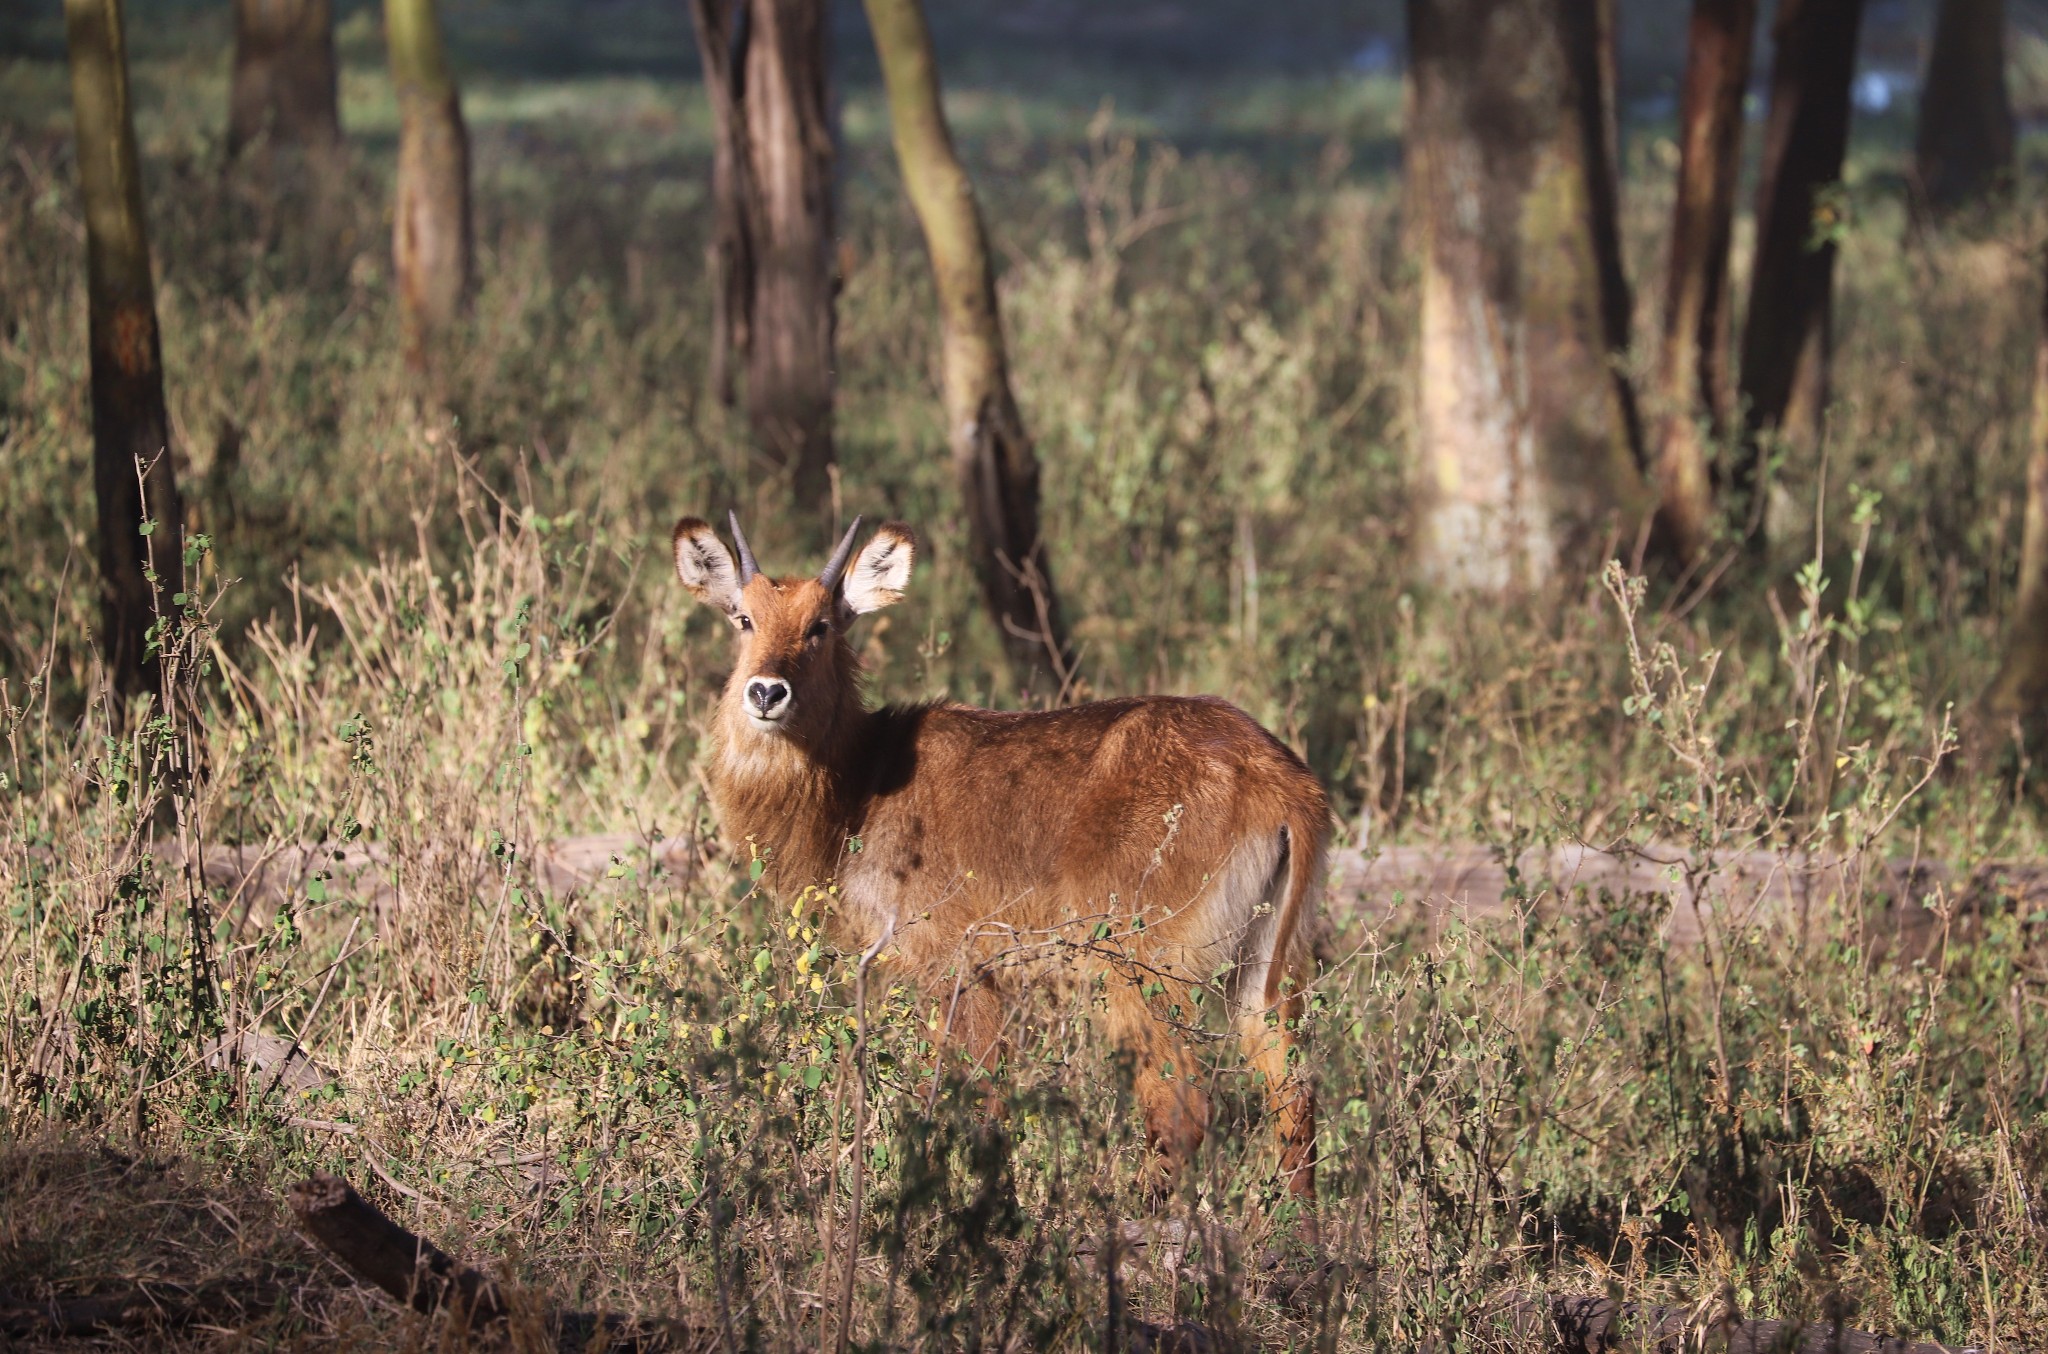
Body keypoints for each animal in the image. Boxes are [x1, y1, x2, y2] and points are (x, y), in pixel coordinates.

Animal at [671, 510, 1327, 1196]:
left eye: (821, 624)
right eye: (743, 617)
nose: (766, 693)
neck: (860, 783)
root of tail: (1280, 778)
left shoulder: (957, 967)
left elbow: (973, 1101)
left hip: (1140, 969)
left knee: (1182, 1109)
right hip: (1264, 971)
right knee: (1294, 1095)